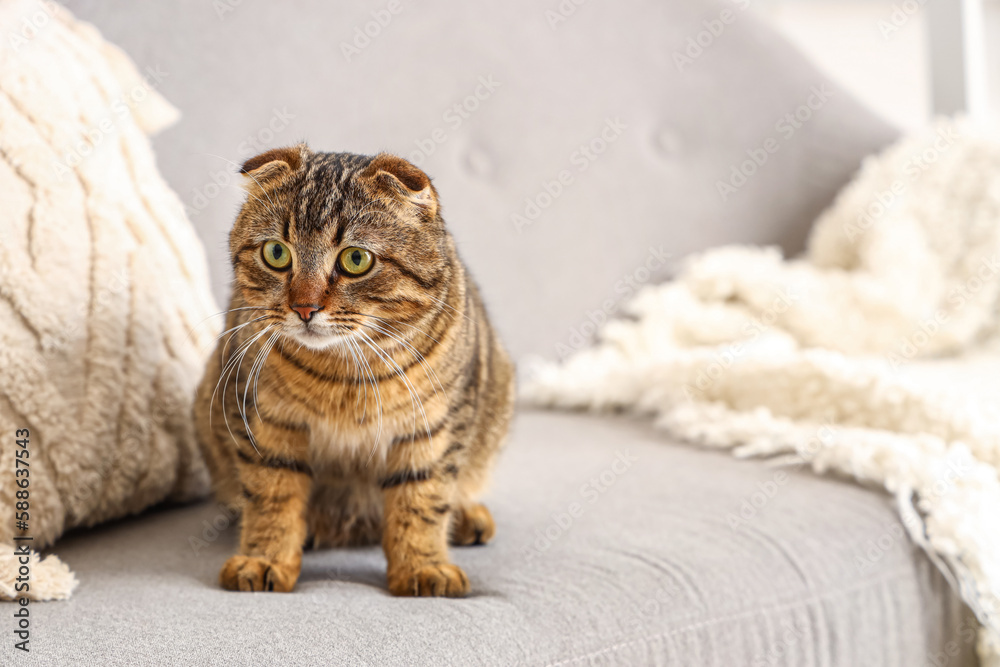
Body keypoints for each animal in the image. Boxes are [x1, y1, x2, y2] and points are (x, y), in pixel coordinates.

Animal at [193, 145, 516, 596]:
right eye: (276, 253)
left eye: (356, 259)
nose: (304, 307)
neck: (344, 373)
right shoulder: (264, 424)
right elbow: (272, 499)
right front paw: (264, 558)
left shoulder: (432, 430)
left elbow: (421, 503)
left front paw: (422, 566)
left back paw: (467, 516)